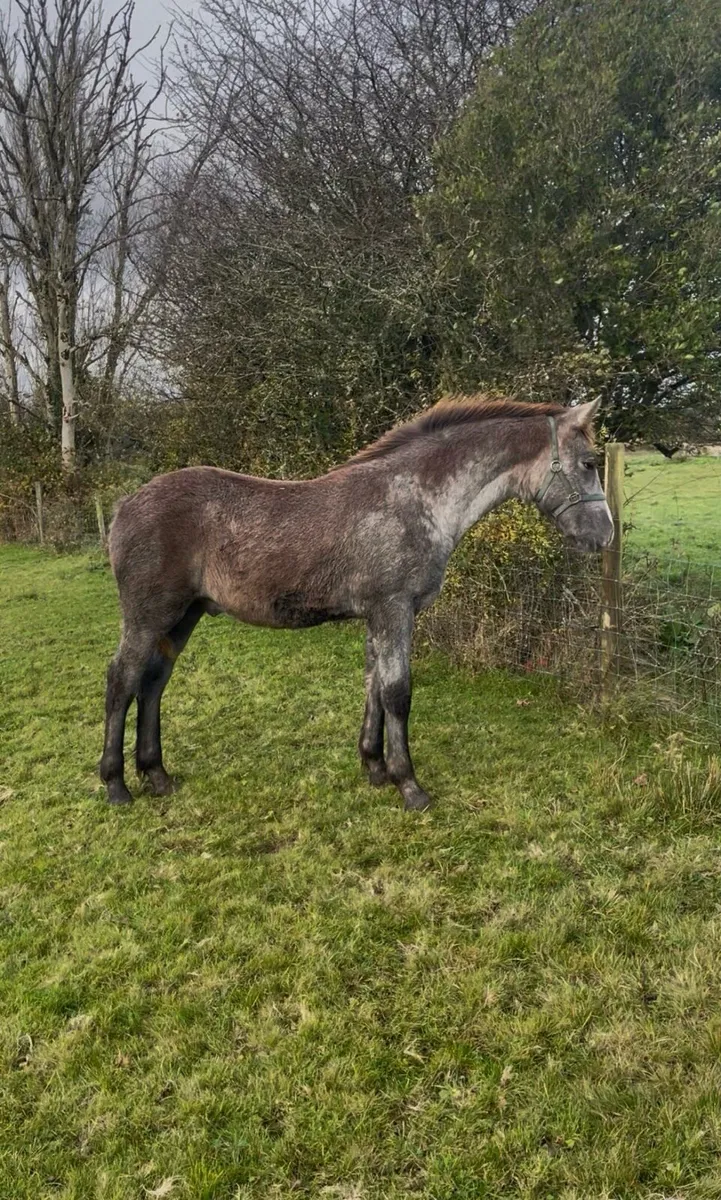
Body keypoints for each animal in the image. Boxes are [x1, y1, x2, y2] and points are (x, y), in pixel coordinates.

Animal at [100, 395, 613, 810]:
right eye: (589, 462)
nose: (605, 535)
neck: (414, 498)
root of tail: (124, 505)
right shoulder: (394, 609)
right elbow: (398, 693)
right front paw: (410, 786)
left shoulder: (378, 617)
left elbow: (374, 686)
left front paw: (375, 768)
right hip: (149, 617)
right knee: (122, 681)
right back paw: (115, 785)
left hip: (181, 618)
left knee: (153, 683)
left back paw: (156, 775)